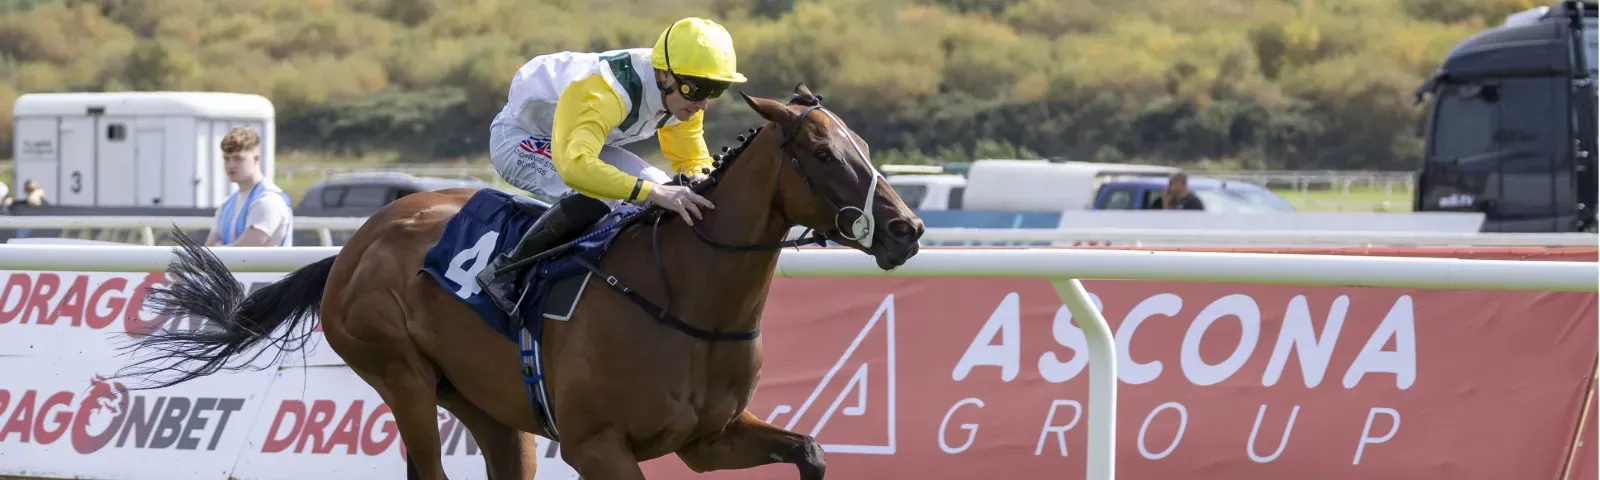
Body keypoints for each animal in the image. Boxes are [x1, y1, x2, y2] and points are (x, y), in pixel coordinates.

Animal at [112, 84, 926, 480]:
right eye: (822, 153)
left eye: (862, 144)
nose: (907, 230)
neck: (684, 297)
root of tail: (355, 246)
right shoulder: (599, 446)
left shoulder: (707, 438)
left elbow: (811, 451)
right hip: (400, 375)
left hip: (489, 410)